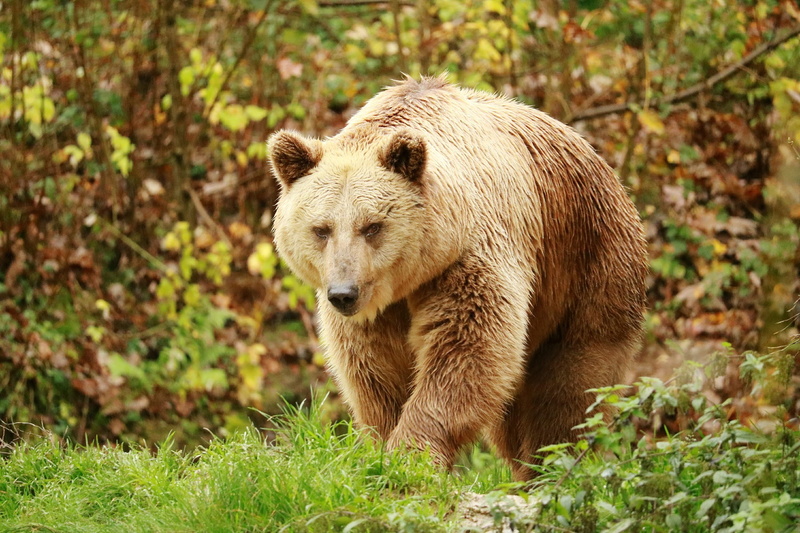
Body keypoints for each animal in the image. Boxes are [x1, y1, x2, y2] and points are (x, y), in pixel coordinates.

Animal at [268, 76, 648, 481]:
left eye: (372, 226)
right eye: (321, 229)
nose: (344, 293)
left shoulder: (466, 259)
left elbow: (467, 351)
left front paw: (413, 455)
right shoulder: (377, 312)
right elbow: (376, 371)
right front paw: (383, 448)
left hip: (586, 263)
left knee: (570, 386)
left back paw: (550, 466)